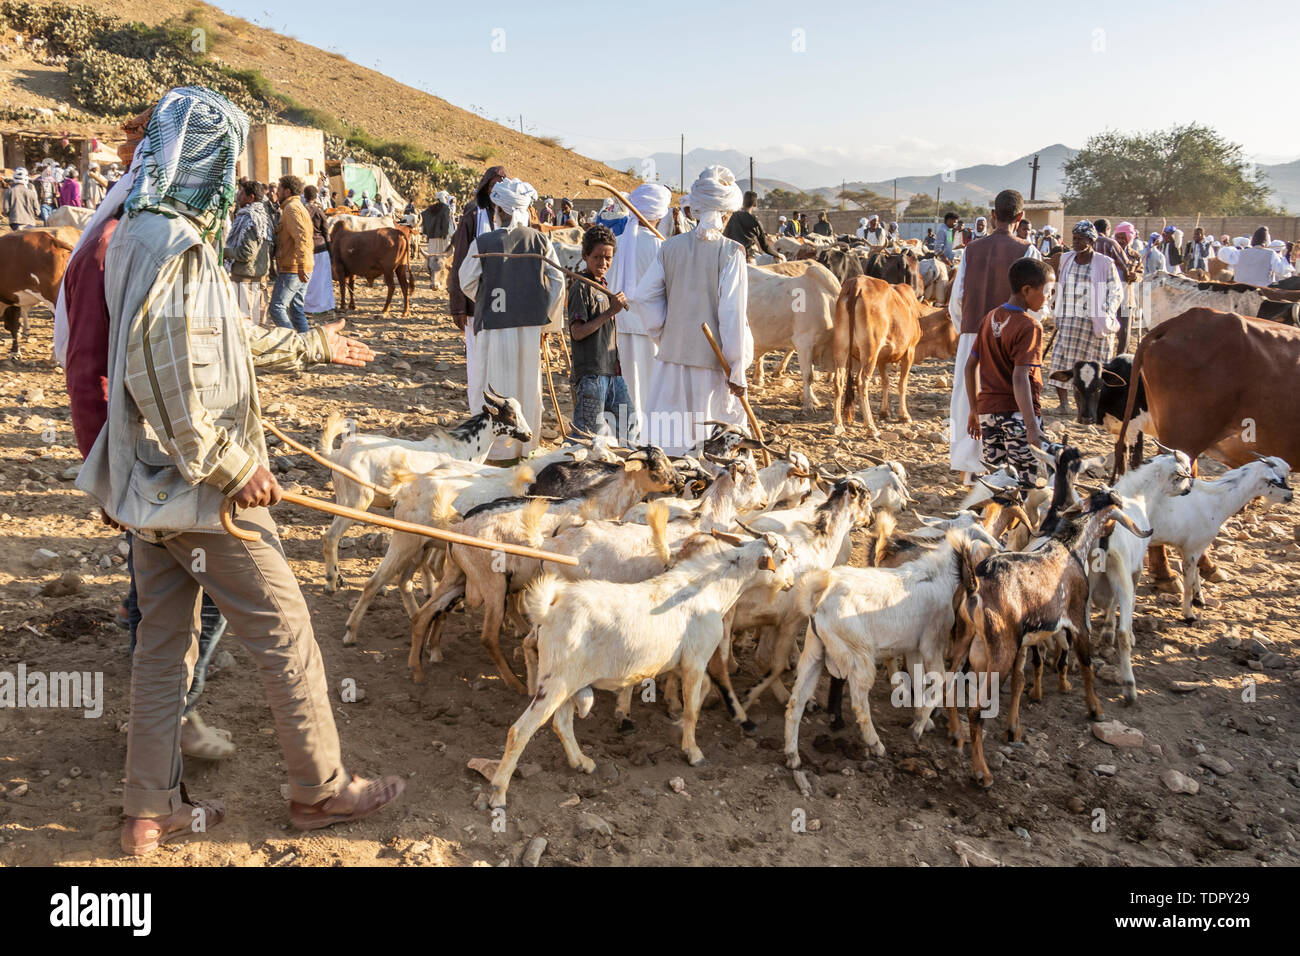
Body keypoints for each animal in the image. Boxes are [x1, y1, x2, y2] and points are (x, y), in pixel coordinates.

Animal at [832, 274, 925, 434]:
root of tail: (858, 282)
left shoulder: (881, 358)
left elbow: (885, 381)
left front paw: (884, 412)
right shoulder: (910, 351)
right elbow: (902, 383)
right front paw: (904, 415)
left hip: (841, 345)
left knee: (839, 379)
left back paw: (838, 424)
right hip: (870, 349)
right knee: (861, 381)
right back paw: (870, 426)